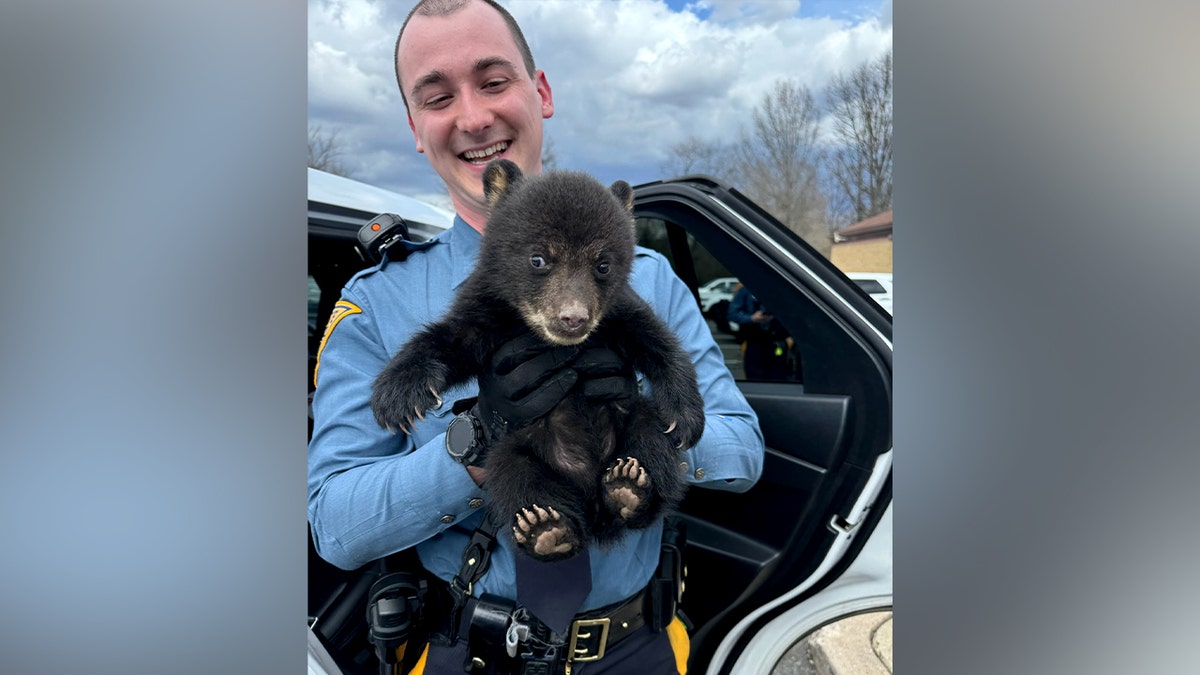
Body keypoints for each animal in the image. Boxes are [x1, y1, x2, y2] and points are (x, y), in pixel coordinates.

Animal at [369, 159, 705, 562]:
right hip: (516, 450)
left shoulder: (617, 313)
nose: (573, 318)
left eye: (603, 265)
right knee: (515, 477)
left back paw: (630, 487)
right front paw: (396, 398)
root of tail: (592, 506)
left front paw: (685, 418)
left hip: (634, 420)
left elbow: (658, 341)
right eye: (538, 258)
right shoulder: (488, 310)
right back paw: (546, 529)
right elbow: (452, 340)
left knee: (651, 442)